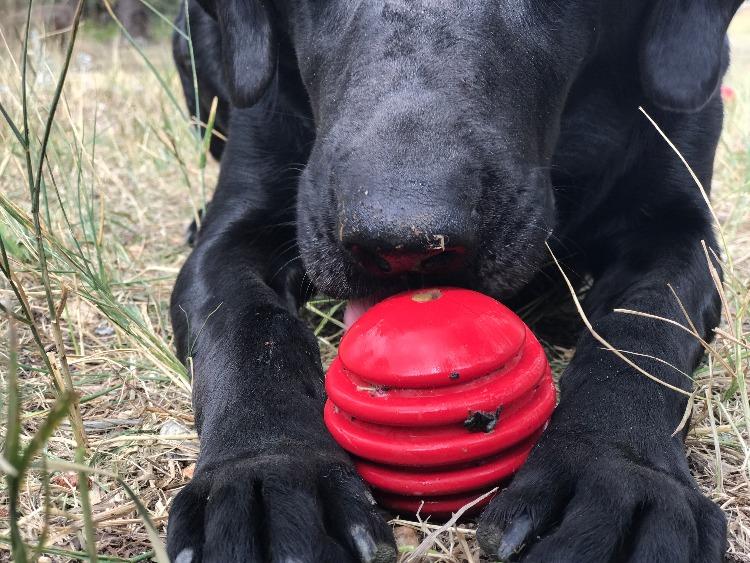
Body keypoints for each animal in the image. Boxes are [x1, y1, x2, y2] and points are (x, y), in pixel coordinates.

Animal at [166, 2, 748, 560]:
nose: (402, 242)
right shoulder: (234, 236)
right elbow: (249, 328)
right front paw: (268, 470)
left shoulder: (677, 233)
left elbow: (643, 333)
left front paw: (616, 472)